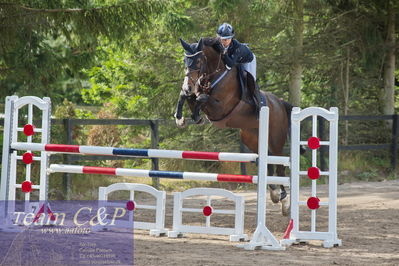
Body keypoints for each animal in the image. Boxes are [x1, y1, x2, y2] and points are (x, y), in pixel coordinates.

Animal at [173, 38, 292, 216]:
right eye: (185, 61)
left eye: (199, 61)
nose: (187, 86)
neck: (214, 74)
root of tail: (280, 103)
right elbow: (187, 96)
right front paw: (180, 118)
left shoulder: (220, 107)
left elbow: (202, 98)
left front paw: (195, 116)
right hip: (252, 139)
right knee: (269, 161)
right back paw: (274, 193)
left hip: (276, 138)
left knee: (279, 166)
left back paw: (284, 201)